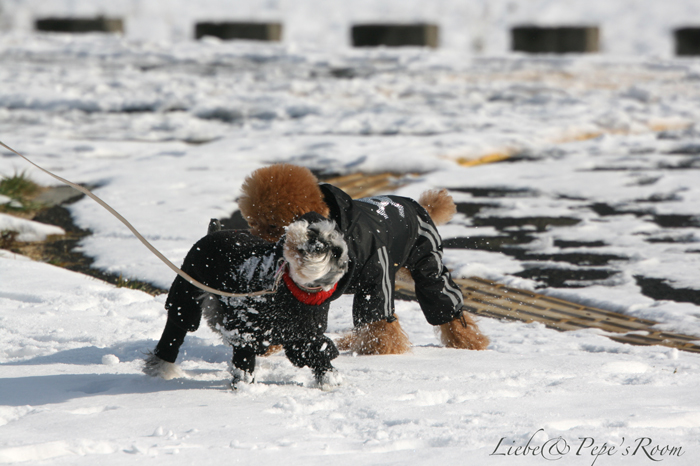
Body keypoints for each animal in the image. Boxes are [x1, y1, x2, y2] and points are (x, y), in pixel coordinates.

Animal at [144, 212, 350, 390]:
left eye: (336, 252)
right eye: (314, 230)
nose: (314, 241)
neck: (294, 290)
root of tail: (213, 232)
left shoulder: (304, 337)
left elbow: (317, 356)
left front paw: (330, 380)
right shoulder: (247, 332)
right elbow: (244, 362)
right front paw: (244, 387)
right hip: (186, 294)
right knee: (176, 330)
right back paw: (161, 369)